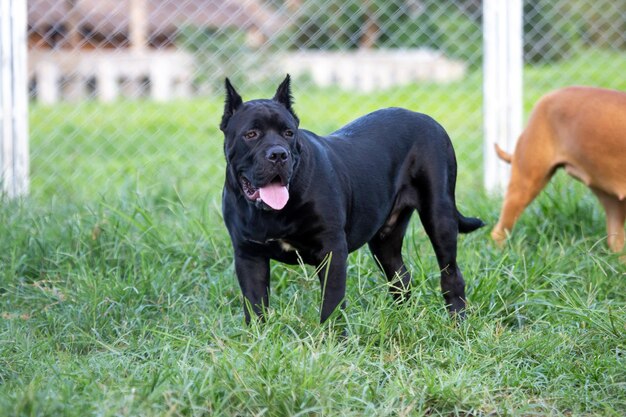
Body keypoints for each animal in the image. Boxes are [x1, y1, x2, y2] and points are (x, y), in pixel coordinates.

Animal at [219, 75, 482, 324]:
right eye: (251, 134)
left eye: (289, 133)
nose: (278, 154)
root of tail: (426, 118)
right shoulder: (249, 256)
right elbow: (255, 307)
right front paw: (258, 336)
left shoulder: (332, 251)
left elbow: (332, 303)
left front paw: (333, 338)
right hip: (384, 240)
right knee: (400, 278)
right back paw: (404, 319)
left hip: (439, 217)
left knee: (451, 274)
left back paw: (457, 321)